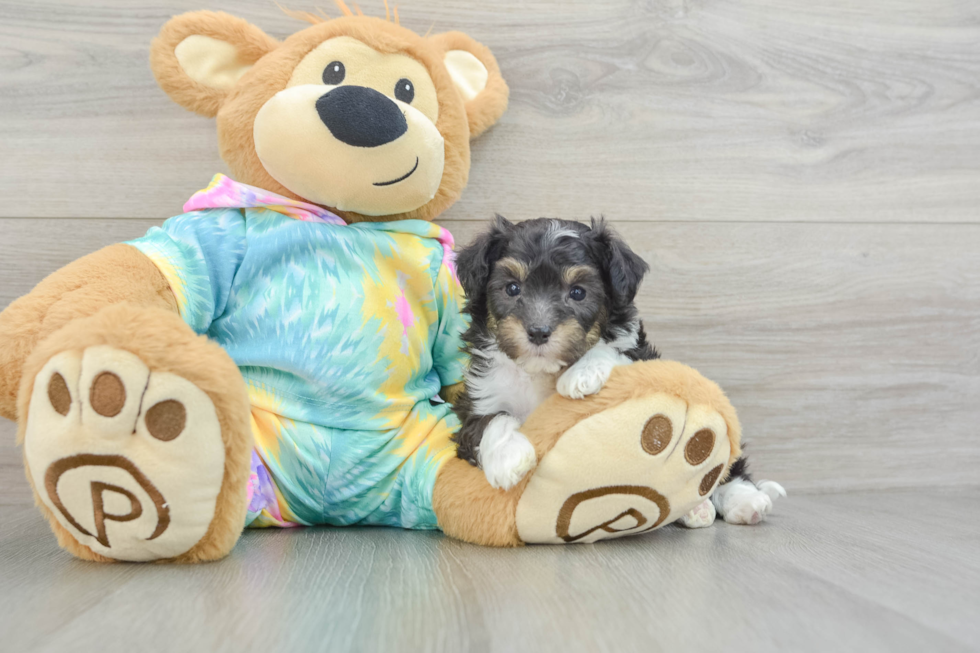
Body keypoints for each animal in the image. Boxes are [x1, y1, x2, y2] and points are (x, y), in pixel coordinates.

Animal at [448, 216, 784, 528]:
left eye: (578, 292)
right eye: (512, 288)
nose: (539, 332)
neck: (541, 371)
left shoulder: (640, 357)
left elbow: (614, 348)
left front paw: (582, 373)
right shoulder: (480, 396)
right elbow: (490, 421)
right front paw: (509, 459)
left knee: (728, 469)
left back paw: (745, 500)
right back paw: (697, 510)